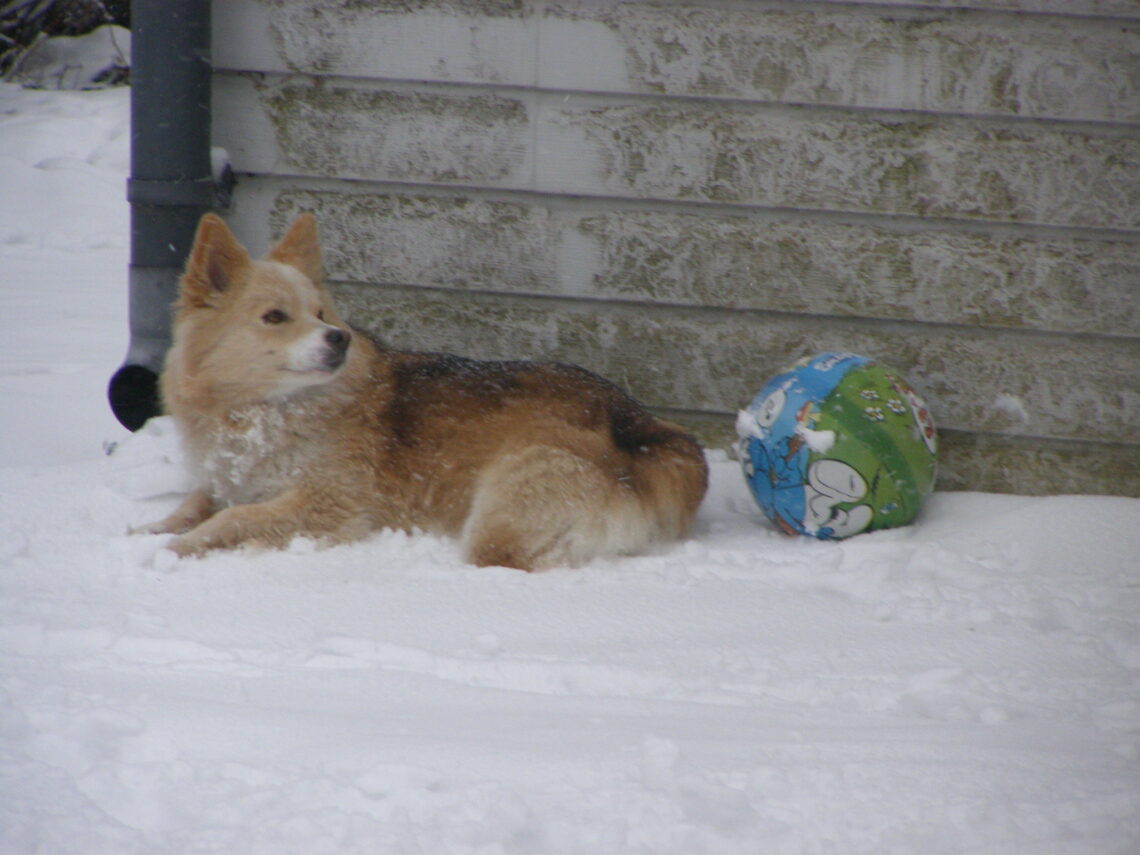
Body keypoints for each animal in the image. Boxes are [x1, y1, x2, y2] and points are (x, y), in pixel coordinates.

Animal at [137, 212, 706, 572]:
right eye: (275, 317)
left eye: (320, 314)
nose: (338, 338)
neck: (264, 410)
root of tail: (640, 428)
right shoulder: (231, 477)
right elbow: (200, 499)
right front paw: (152, 529)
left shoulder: (328, 503)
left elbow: (233, 517)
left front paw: (182, 547)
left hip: (506, 509)